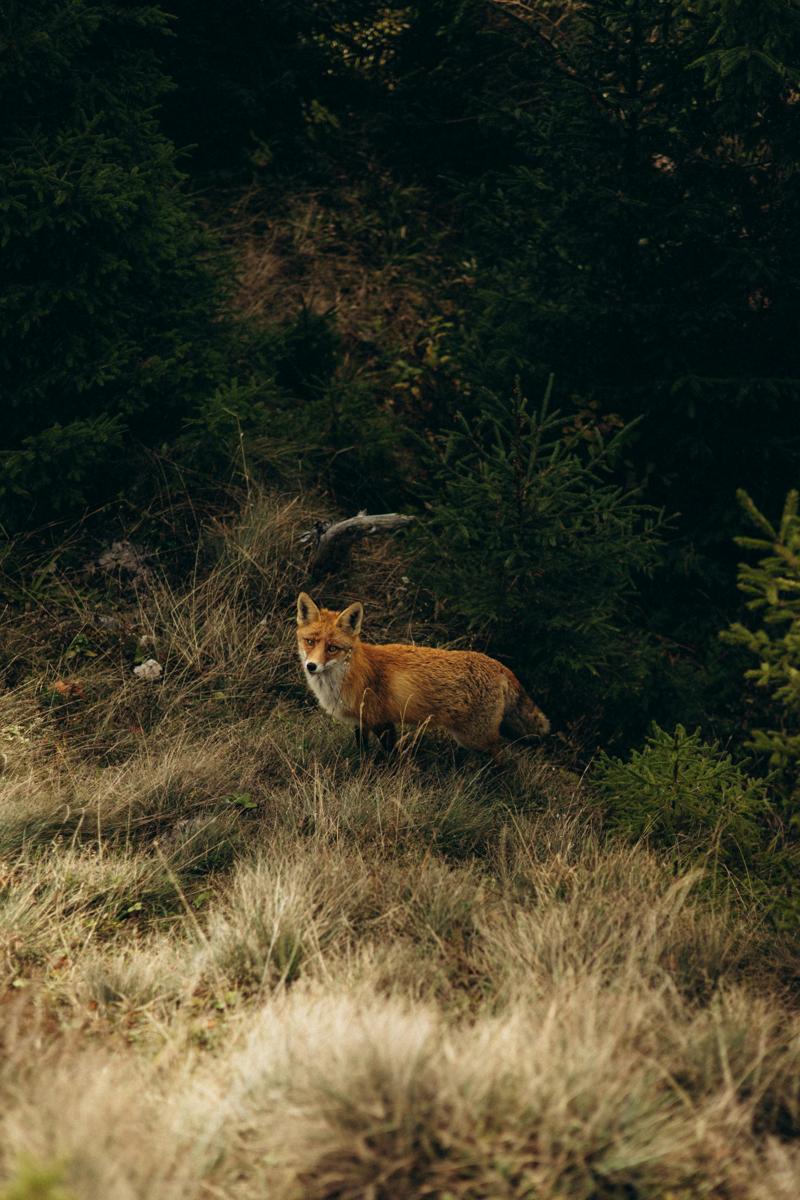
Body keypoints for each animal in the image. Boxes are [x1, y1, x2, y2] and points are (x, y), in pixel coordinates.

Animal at [296, 592, 550, 758]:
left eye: (332, 648)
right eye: (310, 642)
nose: (311, 666)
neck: (347, 677)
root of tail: (500, 665)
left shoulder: (383, 722)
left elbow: (393, 756)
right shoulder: (362, 722)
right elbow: (363, 752)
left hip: (476, 737)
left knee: (506, 759)